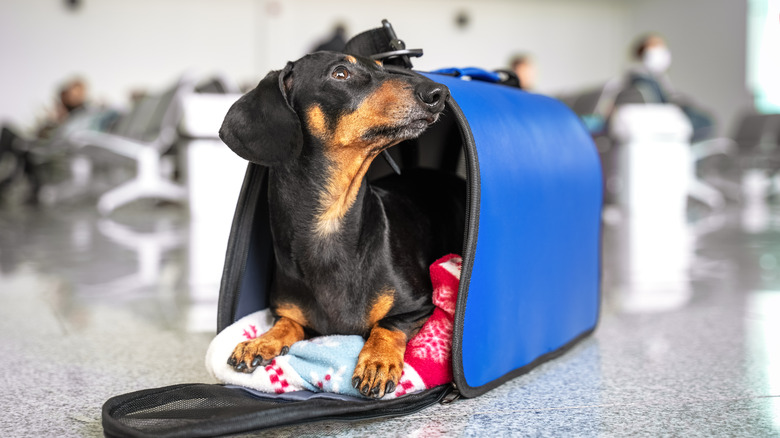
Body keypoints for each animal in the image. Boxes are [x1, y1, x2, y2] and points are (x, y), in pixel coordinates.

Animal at [218, 50, 464, 396]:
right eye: (340, 73)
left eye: (382, 67)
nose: (439, 93)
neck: (330, 225)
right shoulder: (288, 312)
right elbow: (288, 322)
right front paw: (260, 341)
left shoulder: (419, 305)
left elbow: (387, 324)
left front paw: (377, 361)